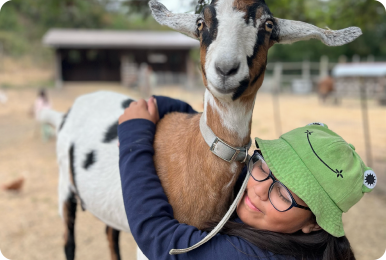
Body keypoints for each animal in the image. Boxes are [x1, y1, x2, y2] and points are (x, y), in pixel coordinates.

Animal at [41, 1, 362, 258]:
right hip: (64, 186)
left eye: (268, 25)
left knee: (110, 233)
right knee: (69, 240)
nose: (225, 69)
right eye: (200, 23)